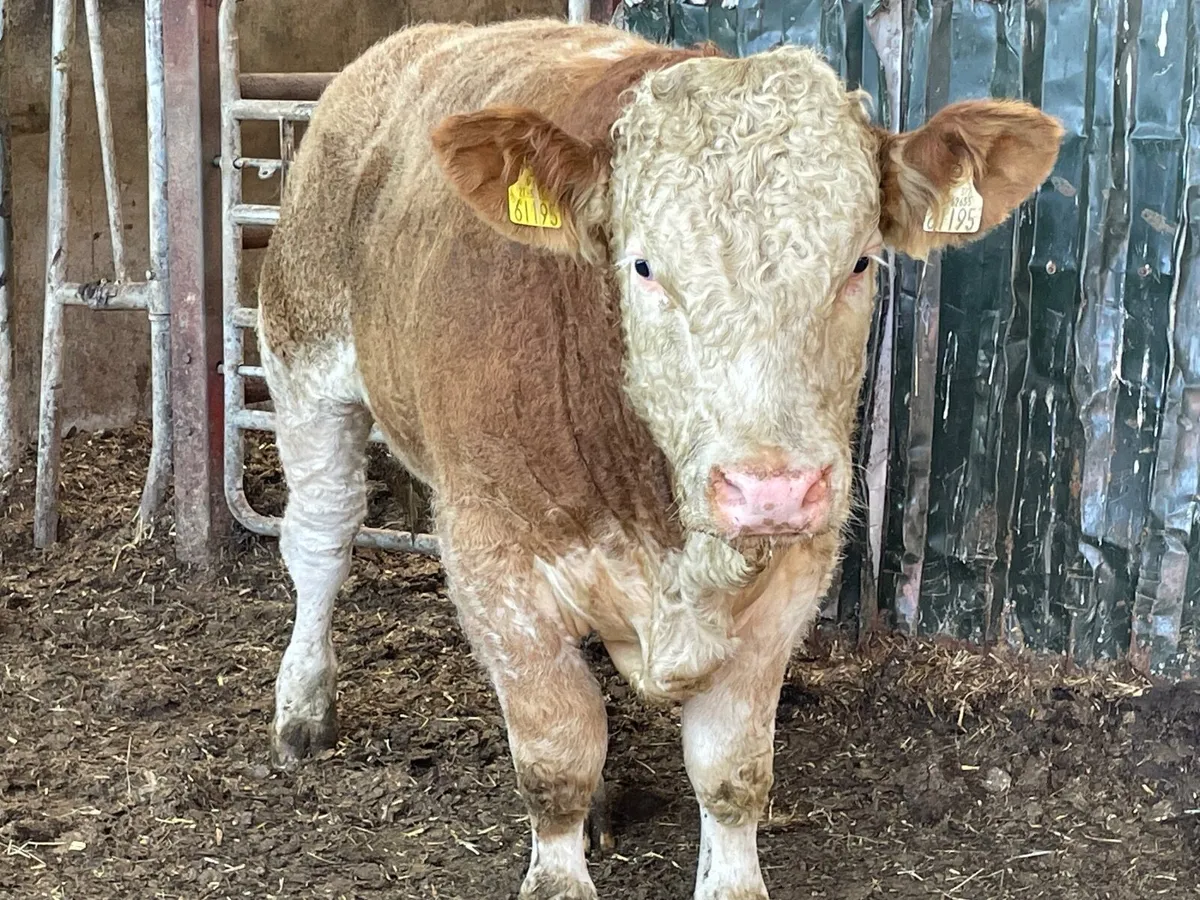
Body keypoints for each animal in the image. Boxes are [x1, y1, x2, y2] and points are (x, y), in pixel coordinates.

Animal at [256, 17, 1062, 900]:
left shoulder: (799, 565)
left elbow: (731, 768)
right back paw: (302, 708)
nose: (770, 490)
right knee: (322, 541)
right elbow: (556, 752)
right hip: (303, 358)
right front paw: (560, 867)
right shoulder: (492, 550)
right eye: (643, 266)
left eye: (858, 262)